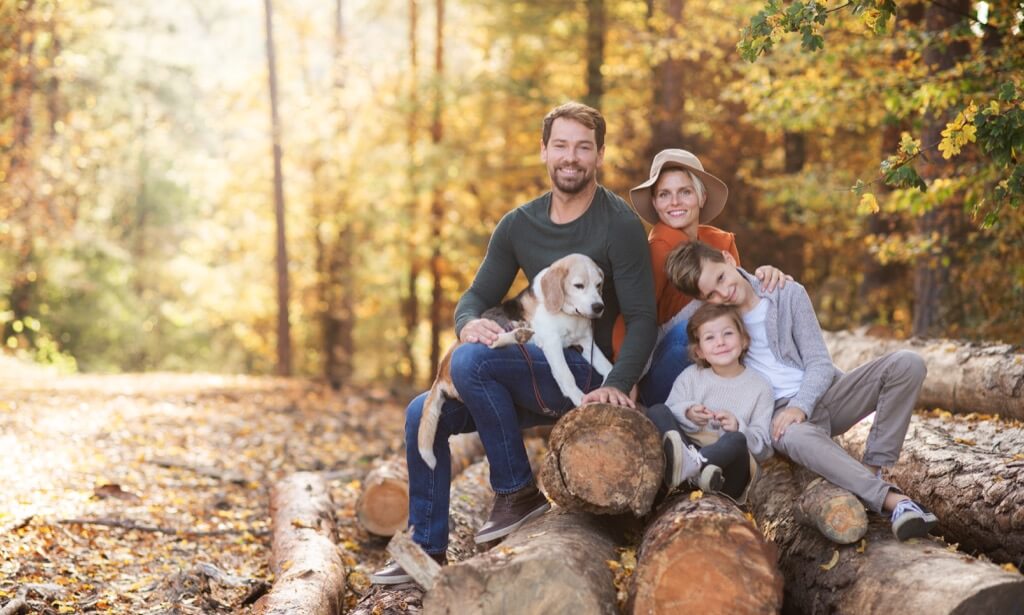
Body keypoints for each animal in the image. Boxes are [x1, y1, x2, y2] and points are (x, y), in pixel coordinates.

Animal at [417, 251, 610, 468]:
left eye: (599, 285)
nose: (598, 307)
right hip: (490, 329)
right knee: (494, 342)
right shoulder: (552, 343)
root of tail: (441, 372)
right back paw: (519, 334)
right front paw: (579, 397)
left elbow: (608, 366)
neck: (570, 315)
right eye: (578, 285)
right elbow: (566, 375)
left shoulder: (587, 343)